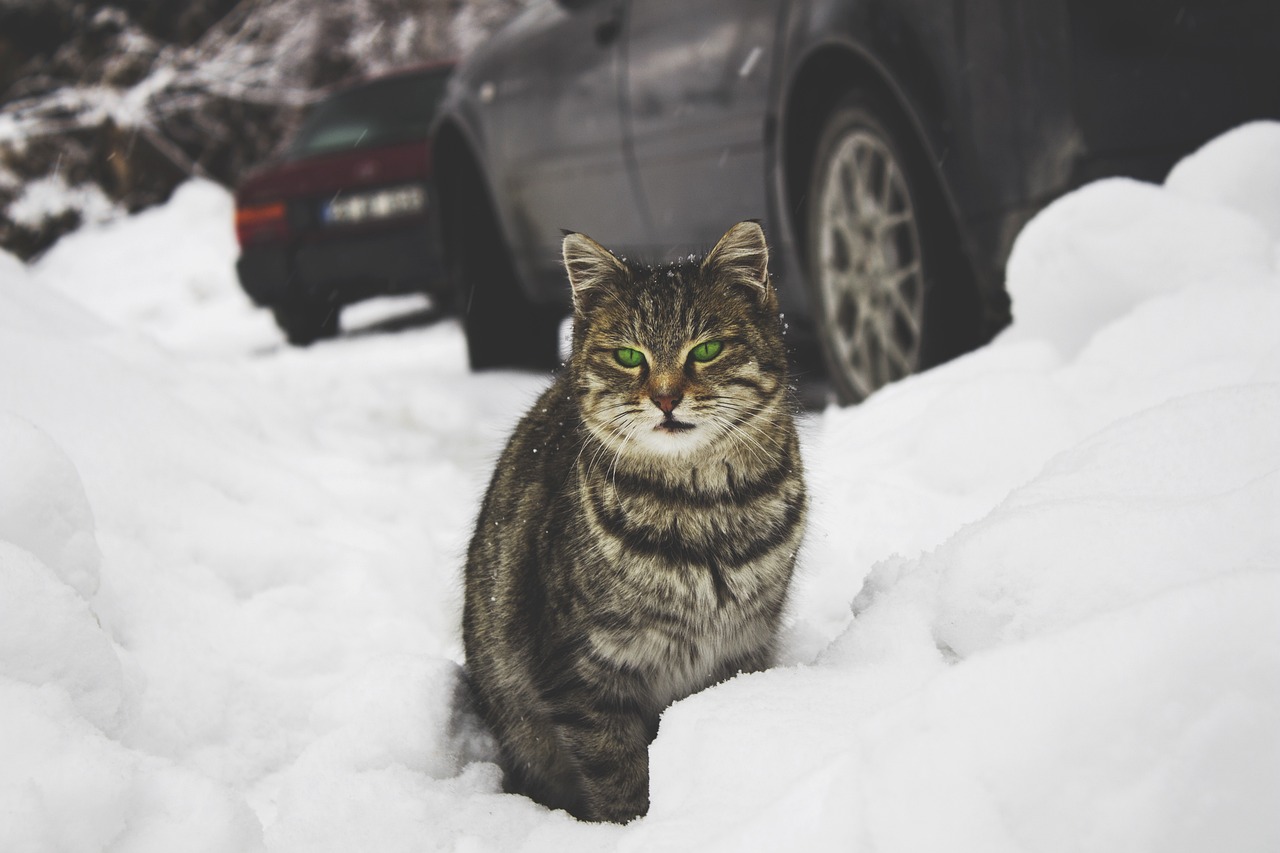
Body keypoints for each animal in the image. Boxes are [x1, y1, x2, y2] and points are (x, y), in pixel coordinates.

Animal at [463, 222, 808, 819]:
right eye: (629, 356)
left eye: (706, 349)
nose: (666, 398)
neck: (704, 509)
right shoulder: (582, 672)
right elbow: (618, 775)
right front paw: (634, 827)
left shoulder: (743, 645)